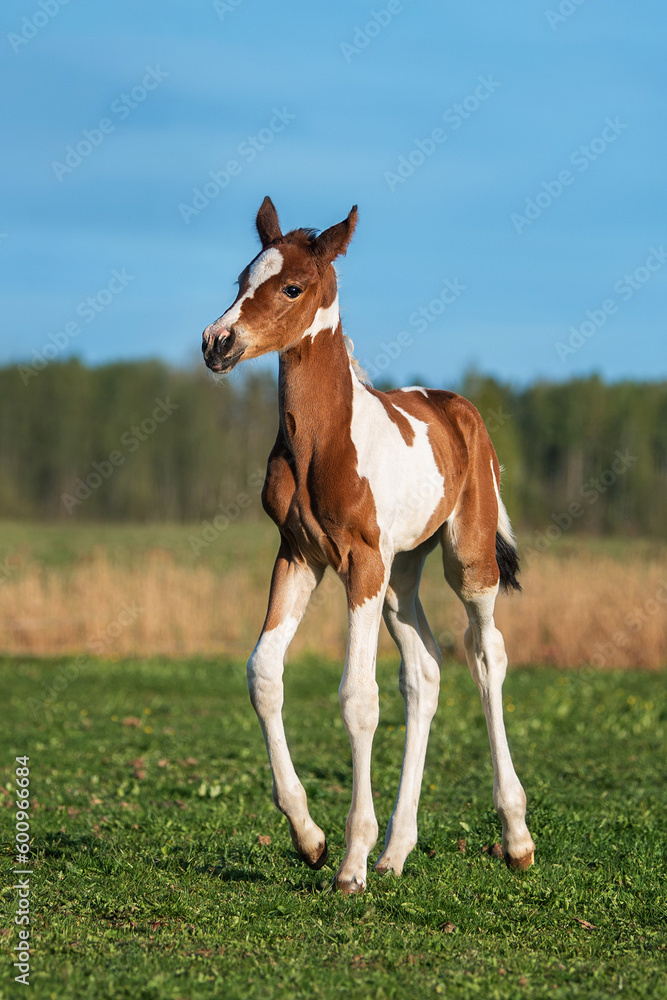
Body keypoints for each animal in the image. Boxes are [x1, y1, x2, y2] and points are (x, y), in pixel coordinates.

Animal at [202, 197, 535, 894]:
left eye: (291, 287)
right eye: (242, 279)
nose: (217, 343)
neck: (323, 440)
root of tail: (459, 409)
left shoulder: (359, 561)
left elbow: (358, 697)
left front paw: (350, 863)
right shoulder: (300, 555)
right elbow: (264, 673)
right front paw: (311, 840)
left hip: (466, 561)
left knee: (485, 654)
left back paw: (515, 837)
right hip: (400, 575)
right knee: (425, 671)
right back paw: (396, 851)